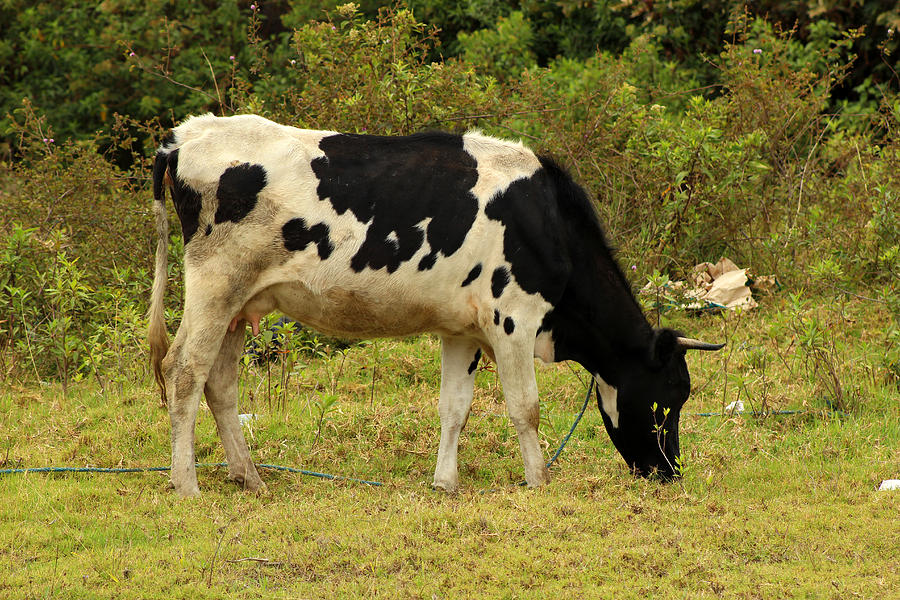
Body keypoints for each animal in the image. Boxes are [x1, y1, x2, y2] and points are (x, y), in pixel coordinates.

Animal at [148, 112, 724, 496]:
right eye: (672, 396)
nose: (669, 472)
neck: (547, 223)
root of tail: (186, 135)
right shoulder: (512, 320)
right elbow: (526, 408)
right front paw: (539, 480)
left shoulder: (462, 330)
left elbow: (455, 408)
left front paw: (445, 483)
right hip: (214, 284)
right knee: (184, 371)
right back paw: (187, 484)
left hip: (240, 303)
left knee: (220, 383)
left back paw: (250, 477)